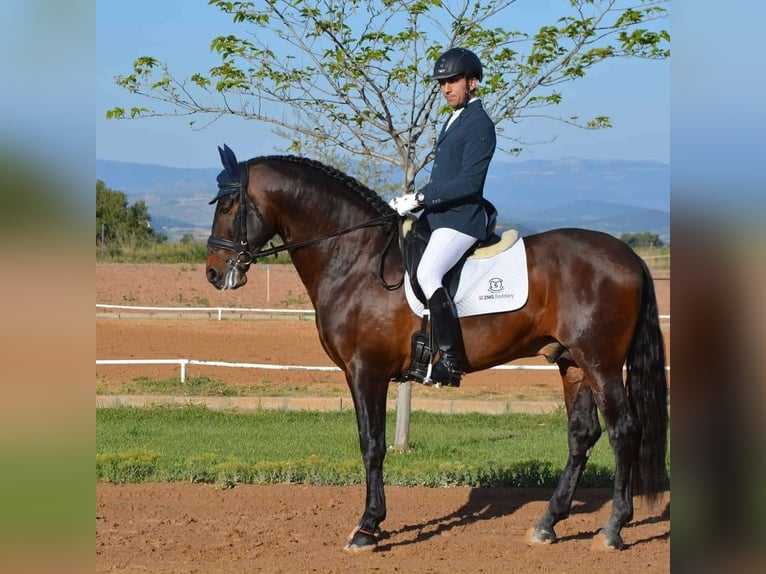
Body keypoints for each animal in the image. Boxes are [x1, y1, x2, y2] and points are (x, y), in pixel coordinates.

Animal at [207, 144, 668, 552]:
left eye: (228, 204)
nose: (213, 273)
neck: (355, 260)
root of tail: (630, 256)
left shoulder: (365, 371)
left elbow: (372, 445)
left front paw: (368, 527)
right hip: (572, 363)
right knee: (582, 435)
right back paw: (547, 524)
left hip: (601, 363)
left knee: (624, 431)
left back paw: (613, 530)